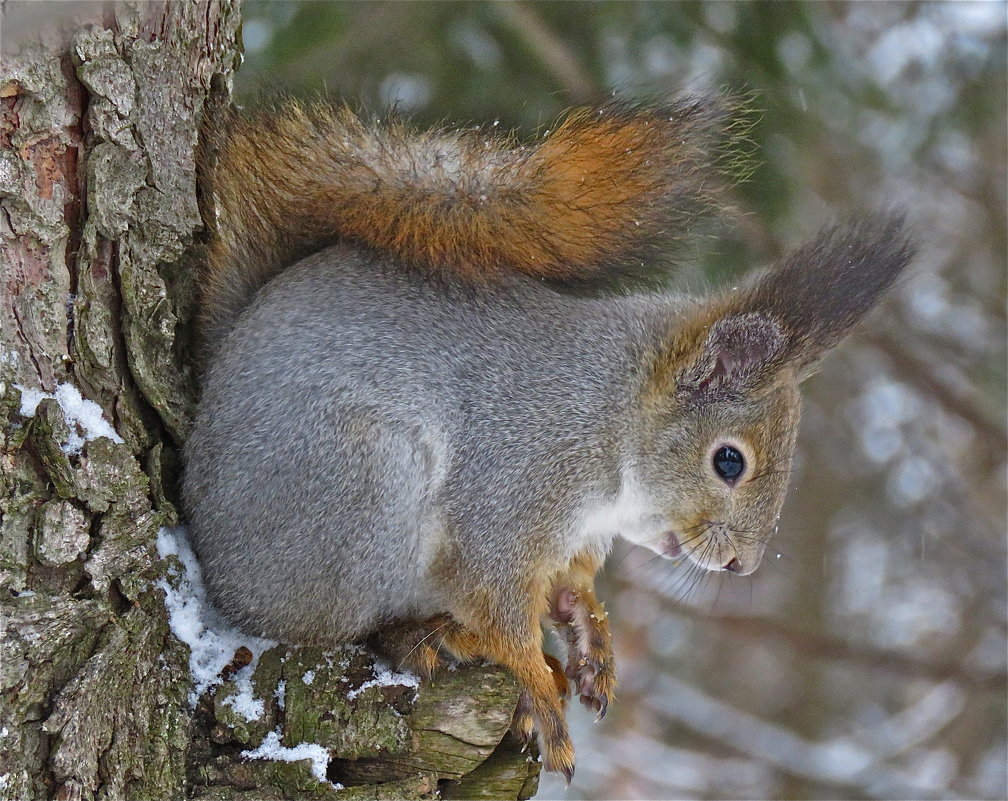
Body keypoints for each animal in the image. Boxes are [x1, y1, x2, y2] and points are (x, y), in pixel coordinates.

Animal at [181, 92, 915, 777]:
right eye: (728, 461)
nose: (744, 565)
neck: (609, 421)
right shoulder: (514, 479)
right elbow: (499, 603)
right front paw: (537, 685)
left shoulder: (573, 535)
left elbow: (568, 585)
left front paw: (591, 637)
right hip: (359, 492)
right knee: (325, 628)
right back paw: (429, 636)